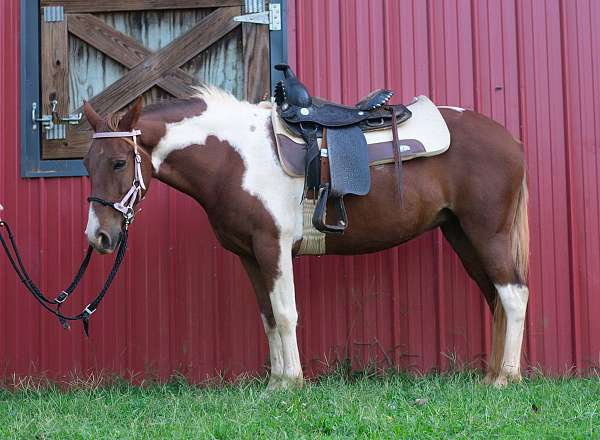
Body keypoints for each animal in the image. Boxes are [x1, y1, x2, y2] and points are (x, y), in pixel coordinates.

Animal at [82, 87, 528, 390]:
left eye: (119, 162)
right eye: (86, 163)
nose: (99, 236)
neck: (235, 158)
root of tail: (509, 140)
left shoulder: (273, 247)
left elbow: (285, 313)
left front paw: (292, 383)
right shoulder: (249, 254)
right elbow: (267, 316)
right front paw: (275, 383)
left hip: (487, 233)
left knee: (513, 295)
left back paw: (506, 378)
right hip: (462, 236)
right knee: (495, 297)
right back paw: (491, 375)